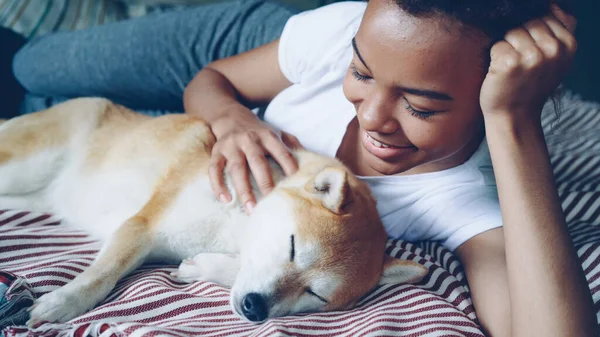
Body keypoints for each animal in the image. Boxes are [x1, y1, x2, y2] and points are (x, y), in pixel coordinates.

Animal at [0, 98, 426, 326]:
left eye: (316, 295)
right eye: (292, 247)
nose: (255, 308)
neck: (233, 229)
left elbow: (232, 270)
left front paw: (201, 267)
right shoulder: (142, 226)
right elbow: (102, 276)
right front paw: (63, 302)